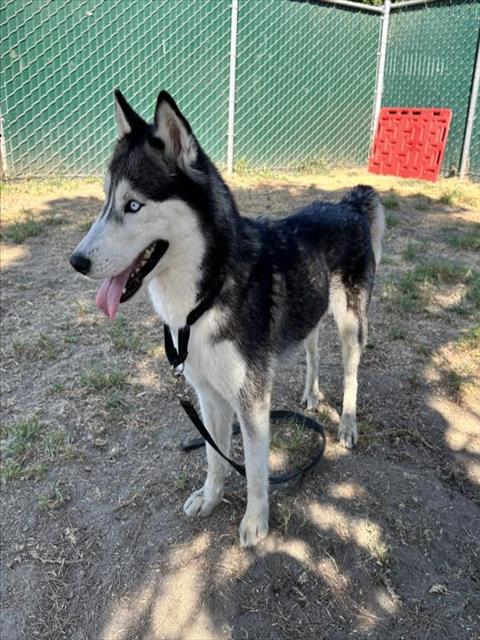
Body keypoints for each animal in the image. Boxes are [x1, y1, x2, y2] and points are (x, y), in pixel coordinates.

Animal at [70, 90, 386, 548]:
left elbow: (254, 469)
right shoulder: (208, 394)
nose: (76, 262)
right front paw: (210, 497)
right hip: (310, 311)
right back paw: (311, 394)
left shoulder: (251, 401)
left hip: (350, 324)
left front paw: (256, 521)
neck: (202, 300)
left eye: (134, 205)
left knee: (351, 375)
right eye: (106, 200)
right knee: (311, 348)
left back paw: (346, 424)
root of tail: (349, 204)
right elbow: (214, 456)